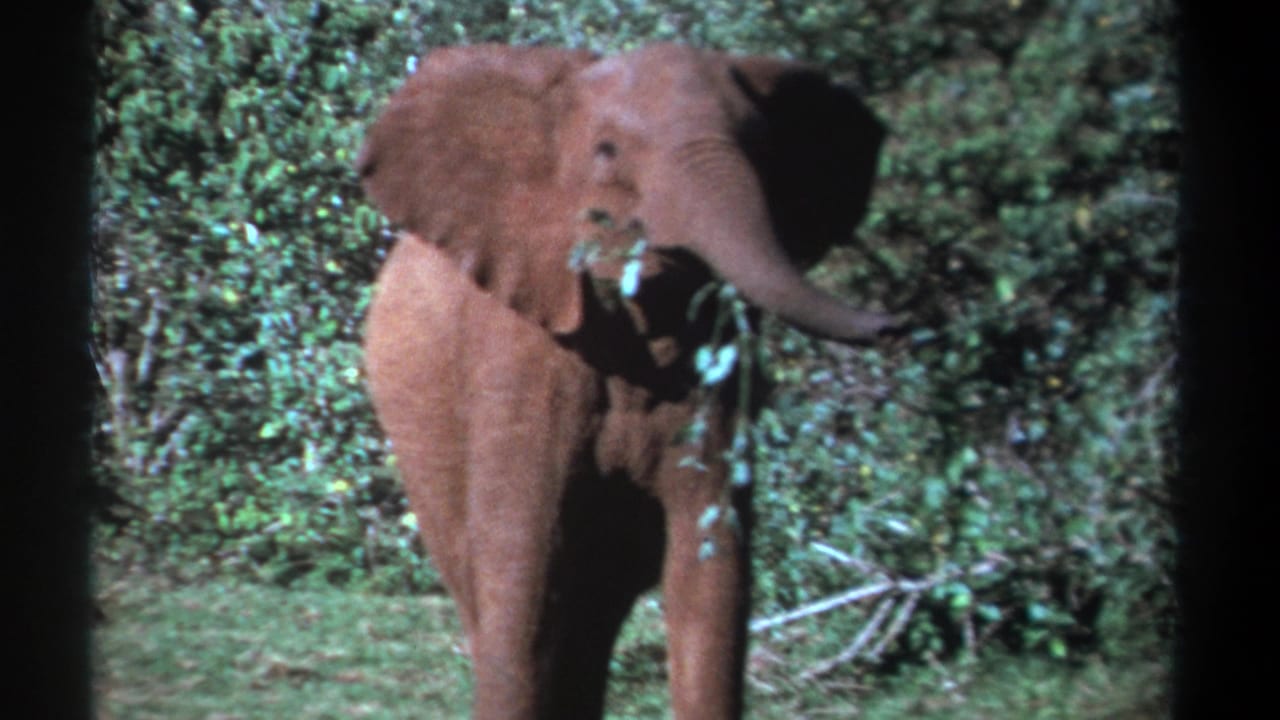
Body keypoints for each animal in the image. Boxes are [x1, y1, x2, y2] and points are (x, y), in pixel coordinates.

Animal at [357, 43, 898, 719]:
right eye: (607, 151)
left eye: (764, 149)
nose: (898, 323)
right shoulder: (515, 350)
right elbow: (523, 571)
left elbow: (711, 571)